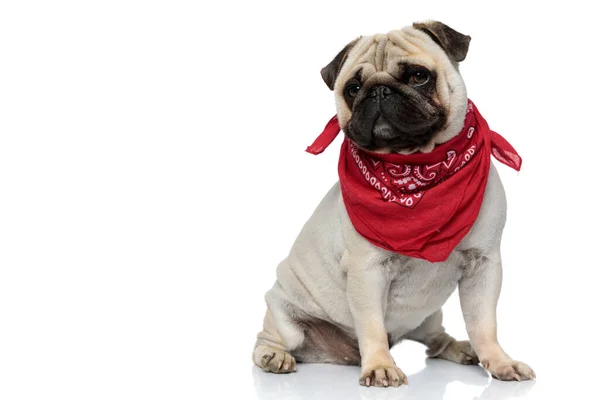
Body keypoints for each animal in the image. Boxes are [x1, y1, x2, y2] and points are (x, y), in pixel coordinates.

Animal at [250, 20, 536, 386]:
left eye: (419, 76)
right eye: (353, 88)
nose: (379, 91)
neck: (415, 167)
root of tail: (343, 354)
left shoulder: (483, 265)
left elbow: (484, 323)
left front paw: (499, 362)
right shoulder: (367, 270)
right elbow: (371, 325)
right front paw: (379, 366)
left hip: (429, 315)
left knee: (436, 340)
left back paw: (461, 348)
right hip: (284, 315)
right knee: (269, 339)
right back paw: (275, 357)